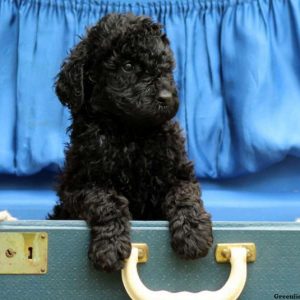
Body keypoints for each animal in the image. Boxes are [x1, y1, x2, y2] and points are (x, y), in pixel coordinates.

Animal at [49, 13, 212, 272]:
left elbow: (184, 195)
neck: (131, 132)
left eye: (167, 67)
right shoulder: (77, 186)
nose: (166, 97)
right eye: (127, 66)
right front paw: (111, 246)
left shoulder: (180, 173)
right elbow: (107, 199)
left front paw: (193, 233)